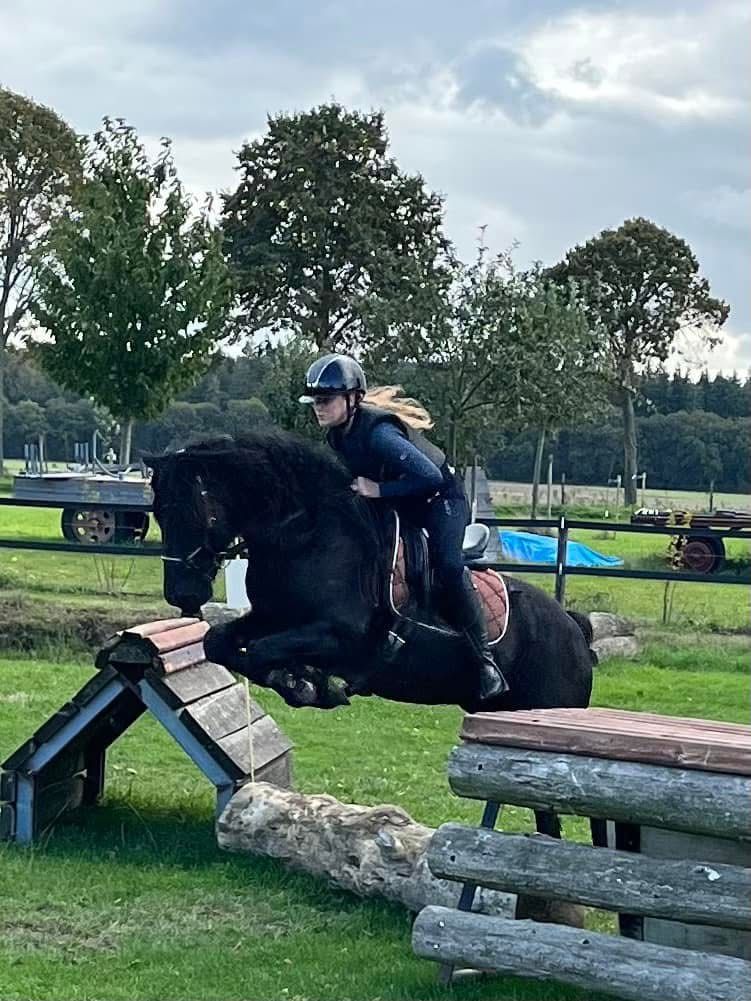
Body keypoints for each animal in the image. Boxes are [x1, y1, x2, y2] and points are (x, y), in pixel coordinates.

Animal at [146, 430, 595, 717]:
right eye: (157, 513)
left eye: (193, 511)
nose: (182, 595)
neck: (302, 534)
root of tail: (572, 627)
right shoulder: (270, 618)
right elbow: (220, 643)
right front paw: (301, 681)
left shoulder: (340, 635)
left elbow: (260, 651)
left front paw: (308, 684)